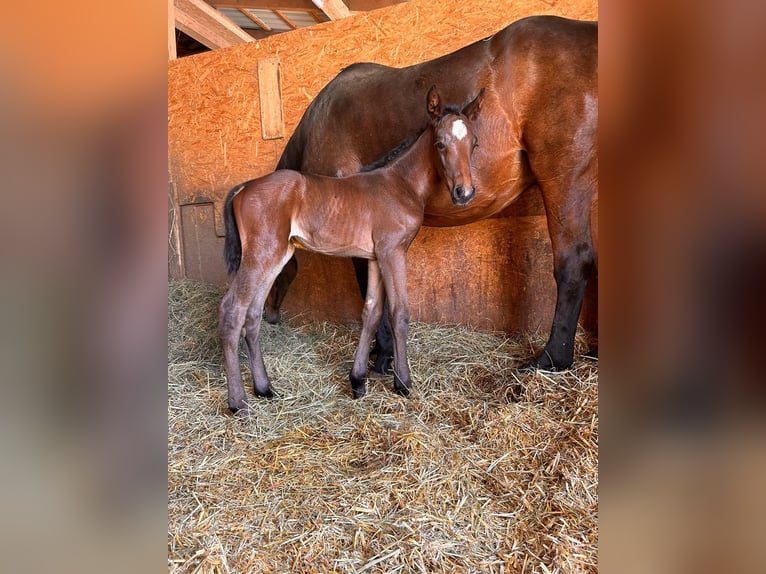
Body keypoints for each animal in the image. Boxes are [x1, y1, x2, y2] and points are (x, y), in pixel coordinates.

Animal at [219, 85, 484, 412]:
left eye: (474, 143)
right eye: (440, 143)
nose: (464, 193)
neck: (400, 184)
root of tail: (243, 188)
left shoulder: (374, 256)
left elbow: (371, 312)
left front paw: (358, 381)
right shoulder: (393, 252)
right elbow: (399, 313)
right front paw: (403, 383)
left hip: (276, 256)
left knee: (253, 316)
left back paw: (265, 389)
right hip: (260, 256)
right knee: (233, 311)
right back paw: (238, 402)